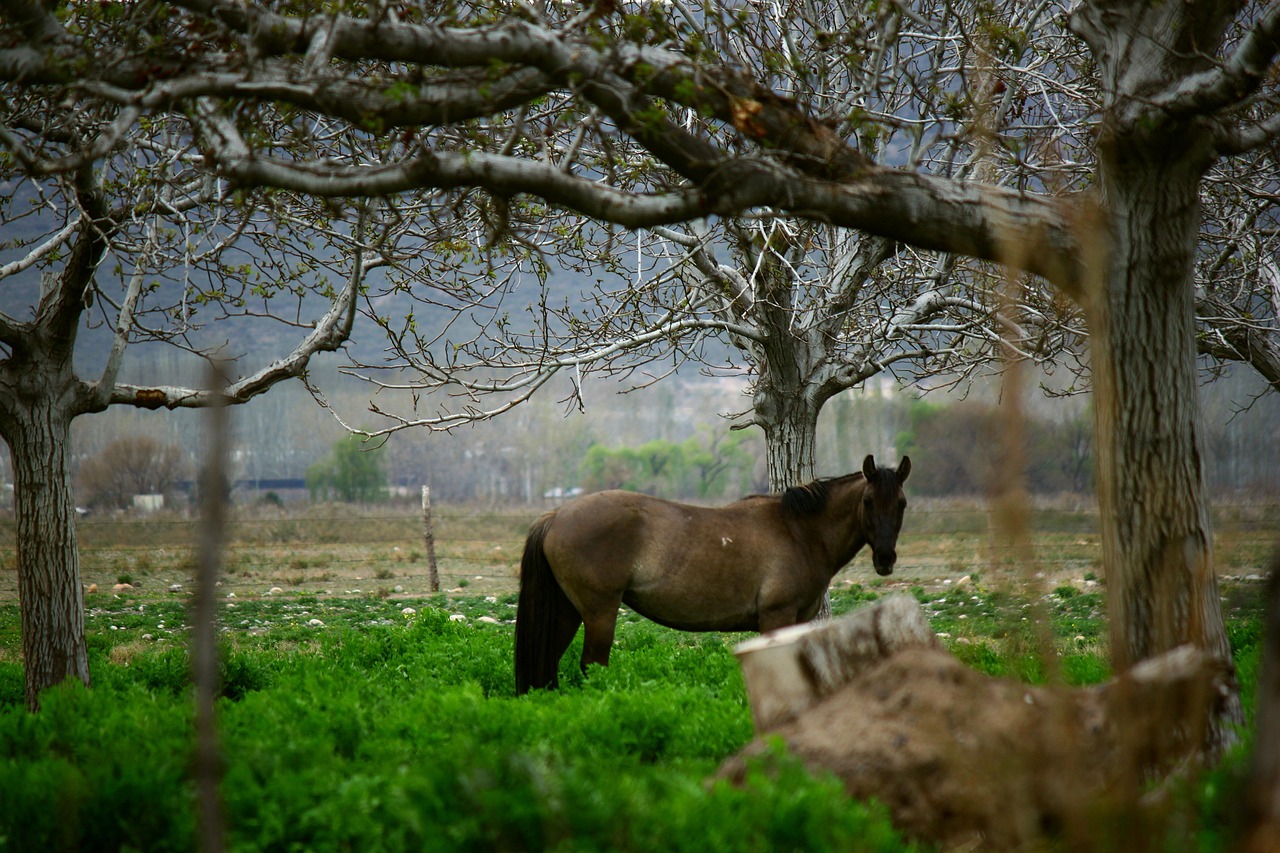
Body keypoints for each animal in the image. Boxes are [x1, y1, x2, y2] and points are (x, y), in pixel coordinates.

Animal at [512, 450, 911, 691]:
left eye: (902, 503)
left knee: (549, 666)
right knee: (591, 665)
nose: (885, 559)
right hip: (599, 614)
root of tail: (557, 516)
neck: (798, 531)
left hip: (566, 611)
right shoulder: (776, 617)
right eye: (868, 501)